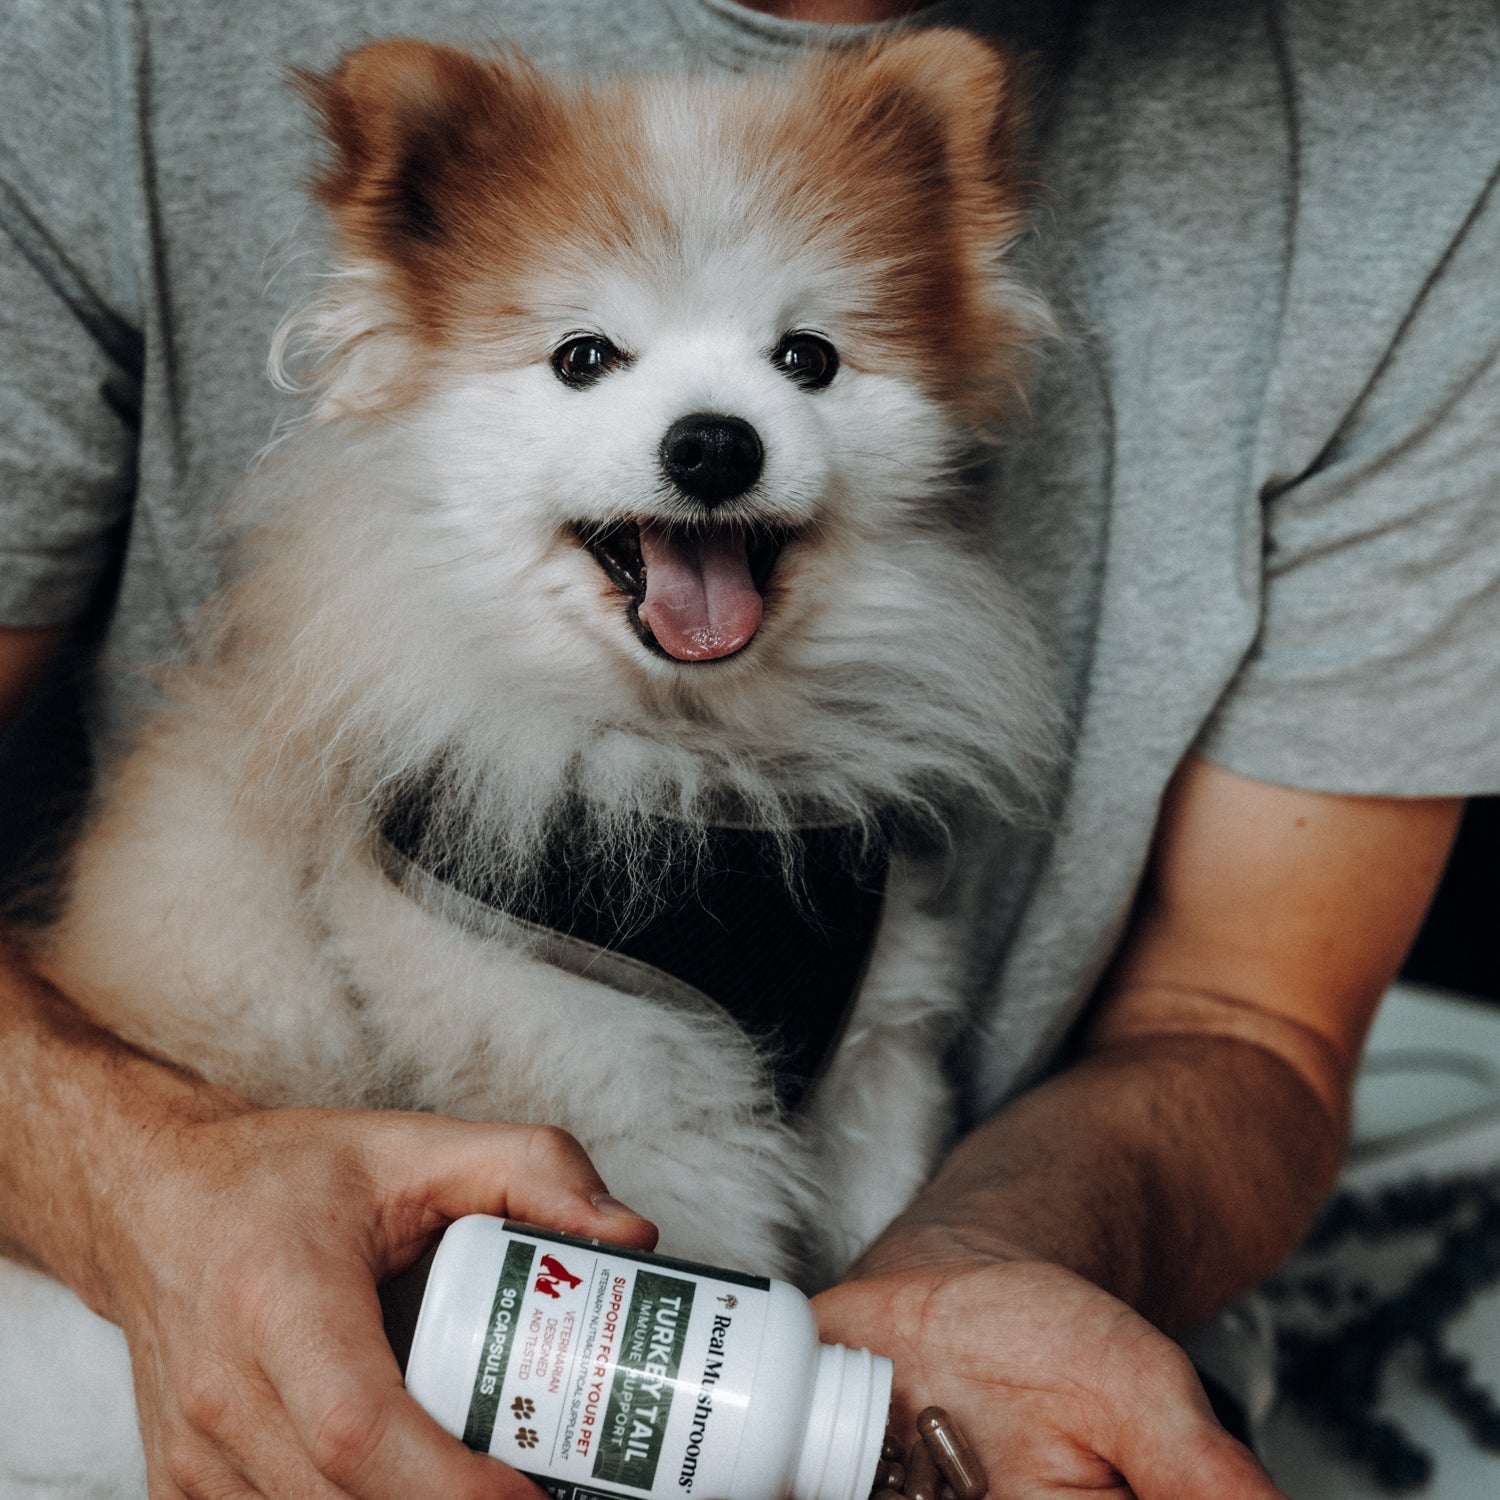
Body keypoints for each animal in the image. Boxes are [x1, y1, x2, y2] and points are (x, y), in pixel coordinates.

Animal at [26, 32, 1056, 1302]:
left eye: (808, 359)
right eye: (584, 358)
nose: (714, 442)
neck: (693, 756)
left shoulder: (876, 1056)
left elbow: (884, 1228)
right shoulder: (620, 1100)